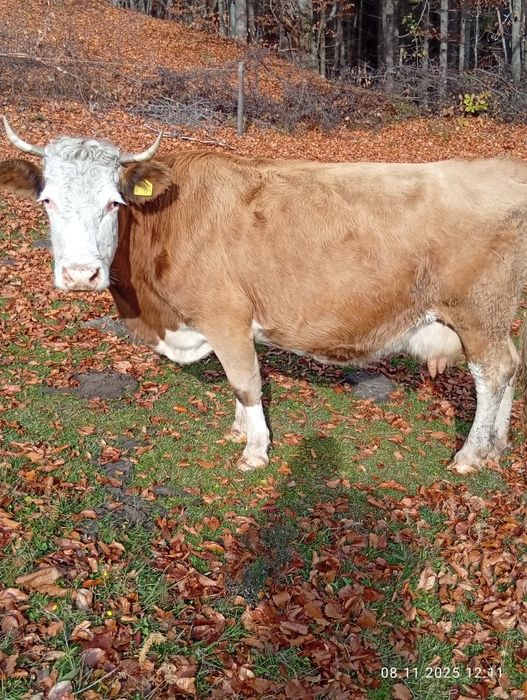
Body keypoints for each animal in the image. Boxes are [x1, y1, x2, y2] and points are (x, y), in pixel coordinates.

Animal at [1, 116, 527, 476]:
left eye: (114, 202)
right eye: (47, 201)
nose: (80, 274)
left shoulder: (225, 315)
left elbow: (245, 380)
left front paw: (255, 449)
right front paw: (239, 430)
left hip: (477, 313)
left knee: (494, 372)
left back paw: (471, 454)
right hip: (494, 316)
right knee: (512, 364)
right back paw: (498, 443)